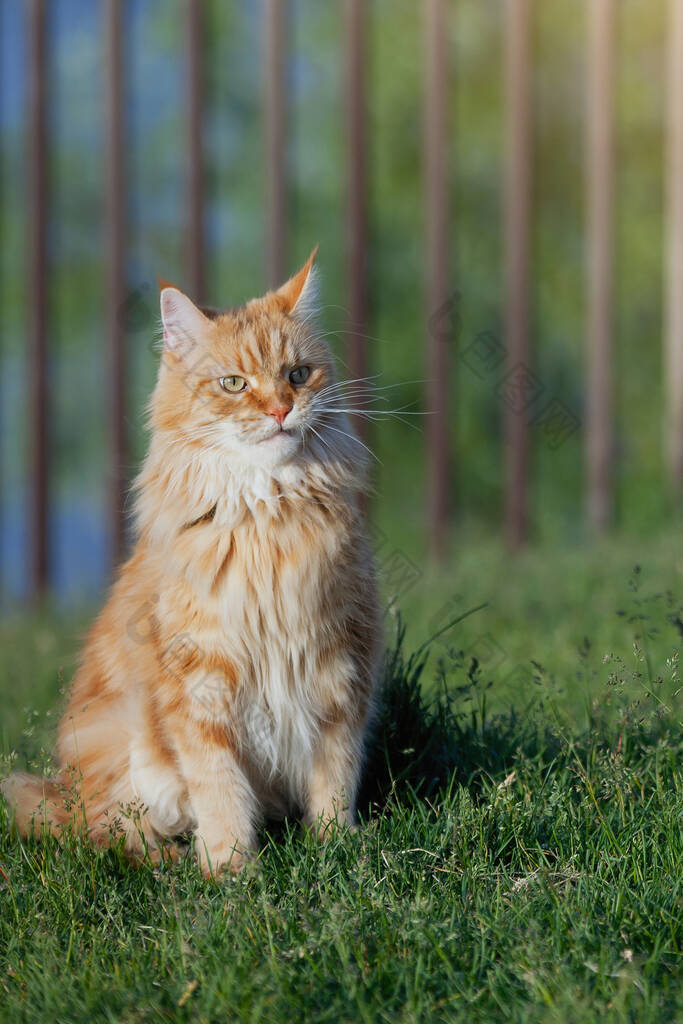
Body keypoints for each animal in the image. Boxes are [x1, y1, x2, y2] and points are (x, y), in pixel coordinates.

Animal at [2, 251, 382, 876]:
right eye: (234, 384)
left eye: (298, 375)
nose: (281, 409)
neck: (267, 521)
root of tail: (61, 794)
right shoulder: (201, 685)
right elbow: (220, 787)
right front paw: (232, 869)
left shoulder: (339, 668)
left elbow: (335, 778)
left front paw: (337, 850)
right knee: (113, 833)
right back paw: (174, 860)